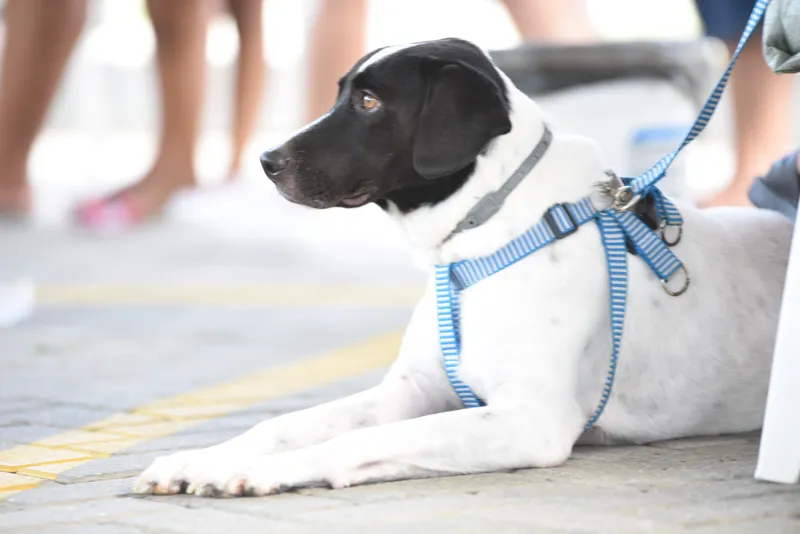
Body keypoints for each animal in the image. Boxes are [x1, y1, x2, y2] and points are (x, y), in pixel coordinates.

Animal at [134, 37, 792, 498]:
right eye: (340, 91)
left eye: (369, 101)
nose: (267, 161)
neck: (479, 245)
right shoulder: (412, 389)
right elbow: (285, 425)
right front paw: (203, 458)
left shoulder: (529, 420)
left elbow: (365, 437)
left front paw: (269, 471)